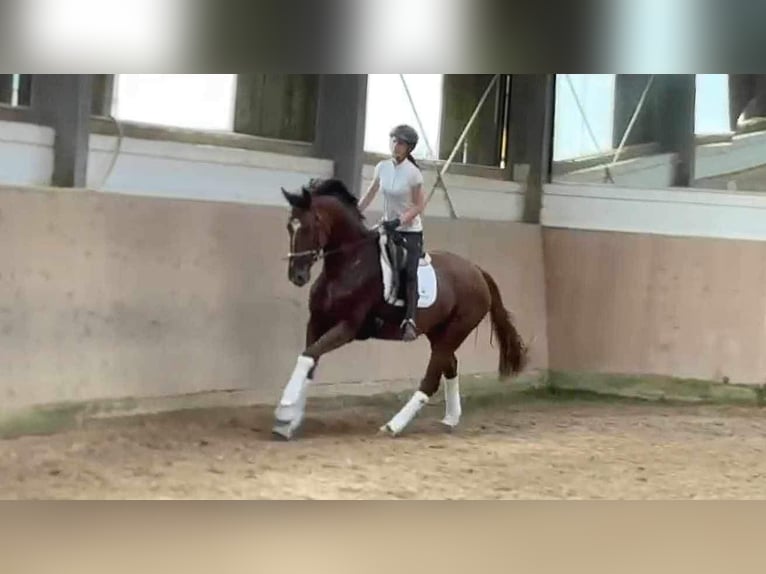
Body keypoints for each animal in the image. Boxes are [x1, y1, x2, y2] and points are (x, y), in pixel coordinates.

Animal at [272, 178, 532, 438]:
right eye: (289, 227)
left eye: (308, 226)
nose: (297, 276)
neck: (349, 264)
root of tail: (477, 271)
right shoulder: (317, 321)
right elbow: (310, 362)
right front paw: (290, 422)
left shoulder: (348, 328)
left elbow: (308, 356)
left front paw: (284, 411)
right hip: (439, 332)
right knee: (450, 367)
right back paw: (450, 419)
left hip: (457, 329)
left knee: (431, 380)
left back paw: (393, 425)